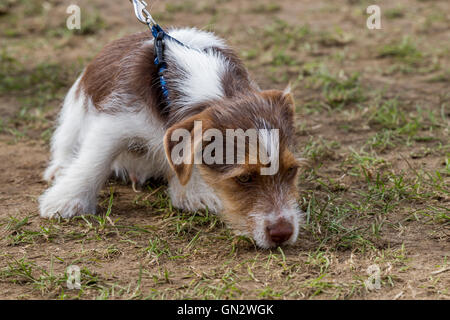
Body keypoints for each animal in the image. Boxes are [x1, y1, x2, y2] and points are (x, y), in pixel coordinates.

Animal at [39, 28, 306, 248]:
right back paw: (60, 168)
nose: (283, 233)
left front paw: (191, 193)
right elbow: (93, 161)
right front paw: (67, 201)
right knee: (67, 142)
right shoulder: (115, 122)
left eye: (291, 171)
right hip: (74, 110)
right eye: (244, 178)